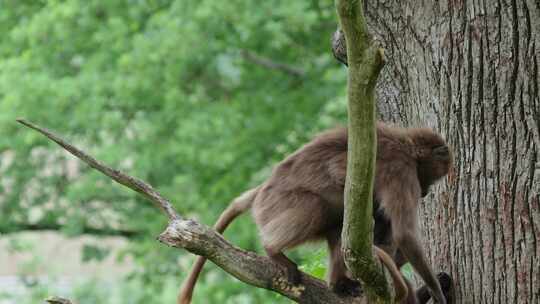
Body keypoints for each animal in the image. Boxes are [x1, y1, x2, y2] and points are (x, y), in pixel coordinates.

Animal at [177, 123, 452, 304]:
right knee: (323, 206)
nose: (426, 192)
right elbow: (404, 233)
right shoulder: (401, 170)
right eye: (433, 177)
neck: (406, 146)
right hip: (277, 206)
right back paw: (273, 250)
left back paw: (339, 284)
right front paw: (437, 292)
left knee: (340, 225)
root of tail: (262, 190)